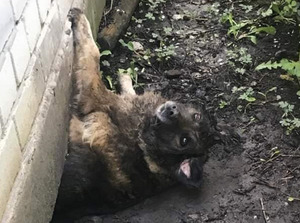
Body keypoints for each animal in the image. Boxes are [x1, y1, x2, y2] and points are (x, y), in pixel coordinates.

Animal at [51, 8, 223, 223]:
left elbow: (93, 53)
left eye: (184, 141)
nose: (171, 110)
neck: (144, 142)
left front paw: (79, 18)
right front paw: (126, 80)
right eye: (196, 116)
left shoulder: (93, 96)